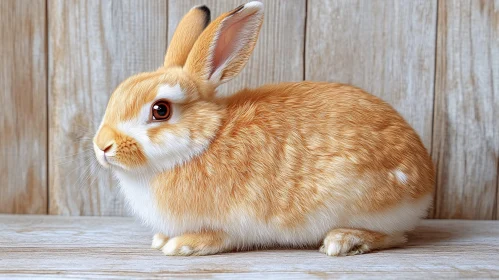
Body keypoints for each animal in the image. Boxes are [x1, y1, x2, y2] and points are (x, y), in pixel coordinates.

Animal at [93, 1, 434, 256]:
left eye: (160, 110)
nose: (102, 146)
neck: (204, 141)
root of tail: (426, 178)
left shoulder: (232, 223)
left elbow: (218, 238)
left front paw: (181, 245)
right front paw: (161, 239)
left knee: (396, 237)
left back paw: (343, 241)